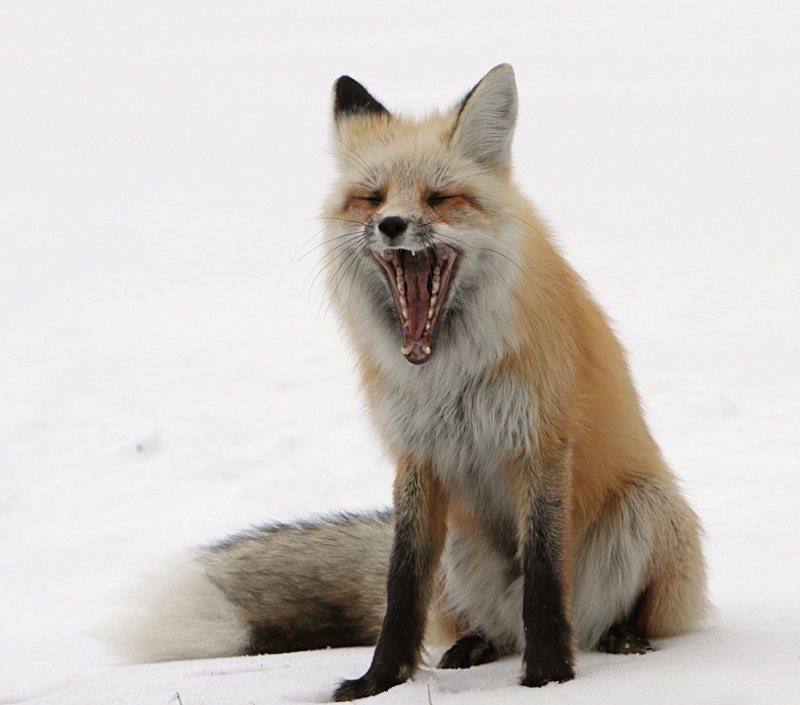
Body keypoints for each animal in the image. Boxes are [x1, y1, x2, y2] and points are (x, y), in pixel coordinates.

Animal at [111, 64, 708, 700]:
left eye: (439, 198)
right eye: (371, 198)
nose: (391, 224)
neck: (448, 377)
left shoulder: (541, 444)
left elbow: (545, 579)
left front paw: (549, 676)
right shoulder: (417, 455)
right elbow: (401, 586)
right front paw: (379, 681)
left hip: (646, 506)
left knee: (605, 613)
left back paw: (621, 634)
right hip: (461, 553)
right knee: (478, 624)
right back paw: (474, 644)